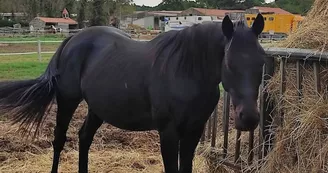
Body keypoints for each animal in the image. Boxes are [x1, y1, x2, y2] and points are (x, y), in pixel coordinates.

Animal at [0, 13, 266, 173]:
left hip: (98, 107)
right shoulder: (168, 132)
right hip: (67, 100)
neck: (185, 71)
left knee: (84, 137)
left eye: (262, 61)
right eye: (229, 63)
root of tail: (71, 41)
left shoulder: (194, 130)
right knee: (59, 139)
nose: (249, 118)